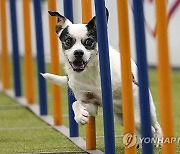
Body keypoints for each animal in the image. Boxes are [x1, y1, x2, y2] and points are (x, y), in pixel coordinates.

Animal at [42, 9, 163, 148]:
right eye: (68, 41)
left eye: (89, 42)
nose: (78, 53)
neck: (90, 71)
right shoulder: (91, 102)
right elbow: (76, 103)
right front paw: (80, 116)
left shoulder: (135, 92)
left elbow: (138, 121)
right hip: (120, 117)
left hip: (149, 108)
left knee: (155, 124)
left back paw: (157, 138)